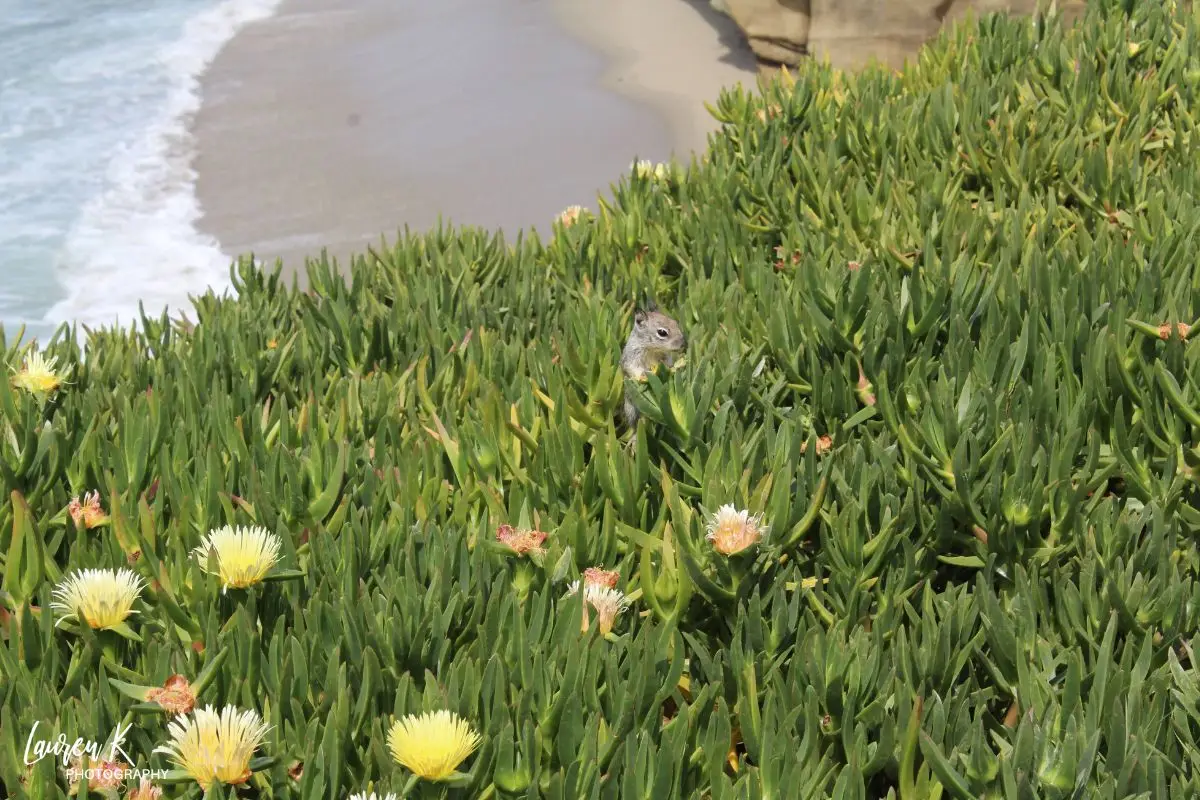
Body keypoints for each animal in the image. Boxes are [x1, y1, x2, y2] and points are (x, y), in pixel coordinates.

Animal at [620, 304, 688, 444]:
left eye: (676, 323)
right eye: (662, 332)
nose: (684, 344)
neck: (652, 349)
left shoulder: (665, 357)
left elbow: (668, 364)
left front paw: (672, 369)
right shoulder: (632, 357)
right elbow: (633, 368)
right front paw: (642, 376)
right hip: (631, 410)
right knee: (635, 425)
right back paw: (634, 439)